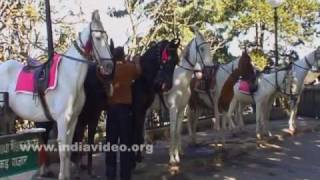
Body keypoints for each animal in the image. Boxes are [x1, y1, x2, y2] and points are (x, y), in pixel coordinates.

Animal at [0, 10, 114, 179]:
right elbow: (63, 150)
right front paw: (62, 175)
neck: (69, 77)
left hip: (9, 115)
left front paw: (67, 174)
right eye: (98, 37)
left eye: (106, 37)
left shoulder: (74, 120)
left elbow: (69, 148)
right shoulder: (62, 120)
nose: (109, 66)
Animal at [164, 28, 214, 164]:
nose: (210, 70)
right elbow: (172, 131)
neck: (179, 80)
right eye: (202, 49)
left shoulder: (181, 108)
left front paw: (176, 156)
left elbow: (177, 131)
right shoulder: (173, 108)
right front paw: (171, 158)